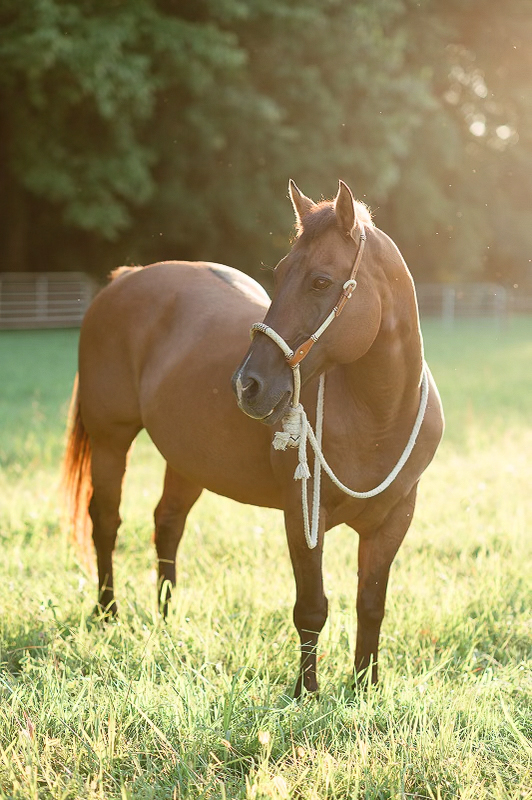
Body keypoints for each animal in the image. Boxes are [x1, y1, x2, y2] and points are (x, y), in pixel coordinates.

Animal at [63, 180, 444, 692]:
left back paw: (166, 619)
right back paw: (108, 615)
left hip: (187, 460)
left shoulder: (395, 518)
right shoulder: (302, 513)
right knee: (106, 520)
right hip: (111, 439)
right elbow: (312, 608)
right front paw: (307, 693)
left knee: (167, 523)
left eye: (320, 281)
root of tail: (124, 279)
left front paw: (366, 687)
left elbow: (371, 605)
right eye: (280, 272)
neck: (380, 416)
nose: (247, 385)